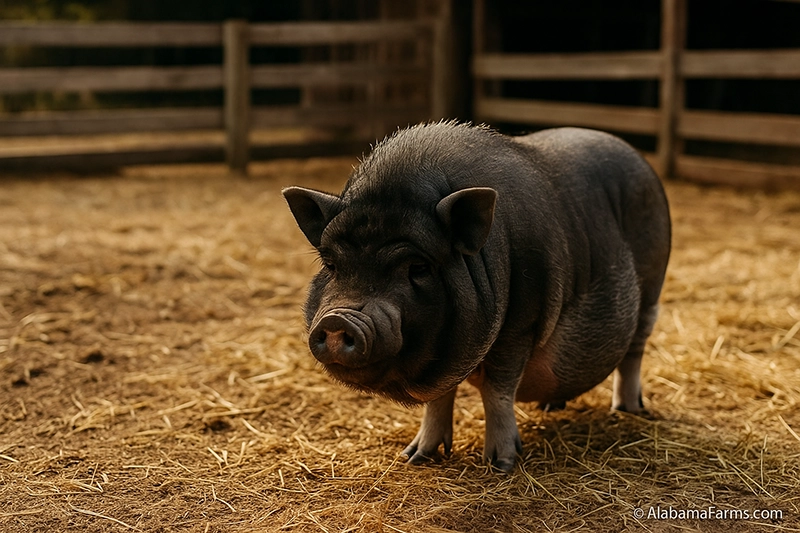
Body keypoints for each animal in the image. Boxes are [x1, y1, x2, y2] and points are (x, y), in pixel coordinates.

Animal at [282, 122, 671, 472]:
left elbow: (498, 392)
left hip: (653, 287)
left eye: (418, 267)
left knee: (634, 352)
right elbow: (440, 398)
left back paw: (628, 410)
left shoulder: (521, 325)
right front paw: (415, 458)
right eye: (331, 264)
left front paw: (500, 465)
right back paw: (551, 407)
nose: (338, 320)